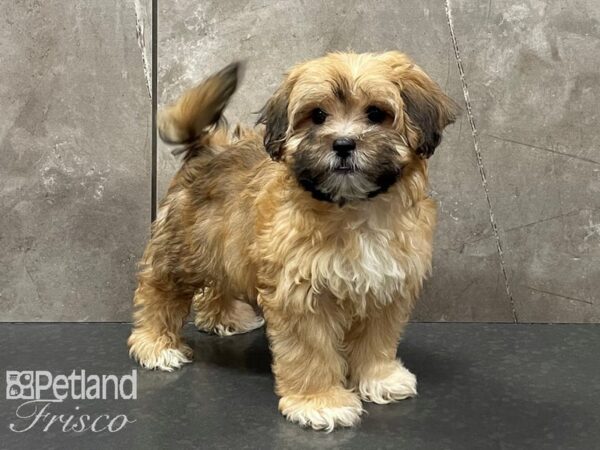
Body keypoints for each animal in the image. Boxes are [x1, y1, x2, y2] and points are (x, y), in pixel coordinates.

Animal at [127, 51, 454, 430]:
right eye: (318, 115)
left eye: (376, 113)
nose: (343, 144)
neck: (353, 208)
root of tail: (206, 148)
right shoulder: (302, 294)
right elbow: (312, 350)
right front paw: (321, 402)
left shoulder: (387, 286)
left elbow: (376, 339)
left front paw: (379, 378)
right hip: (184, 247)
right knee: (159, 288)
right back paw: (155, 344)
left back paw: (224, 318)